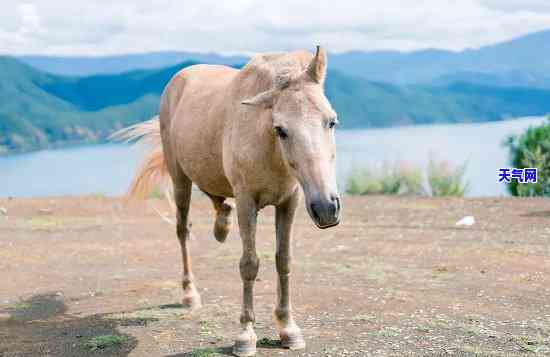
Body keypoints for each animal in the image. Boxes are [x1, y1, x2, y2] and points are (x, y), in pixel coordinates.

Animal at [119, 46, 342, 354]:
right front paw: (245, 335)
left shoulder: (290, 202)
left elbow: (283, 260)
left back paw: (221, 226)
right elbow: (249, 265)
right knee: (182, 230)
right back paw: (190, 294)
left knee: (219, 201)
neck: (268, 147)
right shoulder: (247, 202)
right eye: (281, 129)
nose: (326, 208)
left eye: (331, 121)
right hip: (180, 178)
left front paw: (288, 329)